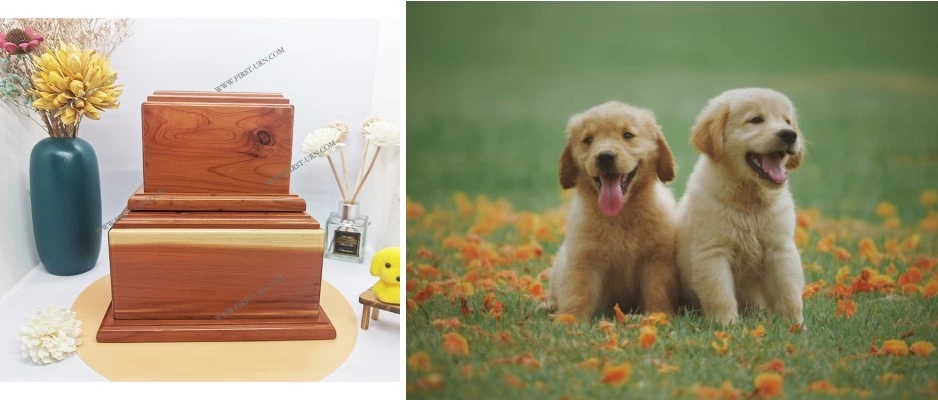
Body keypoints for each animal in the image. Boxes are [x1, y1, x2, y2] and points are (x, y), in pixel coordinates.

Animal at [540, 101, 680, 320]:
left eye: (628, 135)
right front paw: (569, 320)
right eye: (588, 140)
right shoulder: (584, 259)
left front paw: (658, 316)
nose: (605, 157)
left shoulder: (656, 259)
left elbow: (658, 292)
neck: (620, 215)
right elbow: (577, 293)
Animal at [676, 87, 800, 324]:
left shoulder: (780, 248)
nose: (790, 134)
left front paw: (795, 325)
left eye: (787, 121)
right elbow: (720, 293)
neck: (749, 199)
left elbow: (789, 291)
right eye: (756, 120)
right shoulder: (712, 251)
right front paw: (727, 325)